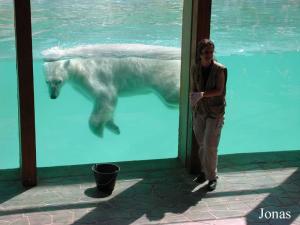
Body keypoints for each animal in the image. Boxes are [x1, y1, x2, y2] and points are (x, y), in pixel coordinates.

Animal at [44, 56, 180, 137]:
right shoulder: (79, 87)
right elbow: (105, 108)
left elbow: (105, 96)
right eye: (47, 82)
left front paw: (98, 130)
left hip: (162, 75)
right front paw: (114, 128)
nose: (53, 96)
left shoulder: (92, 76)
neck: (79, 66)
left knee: (169, 96)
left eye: (59, 81)